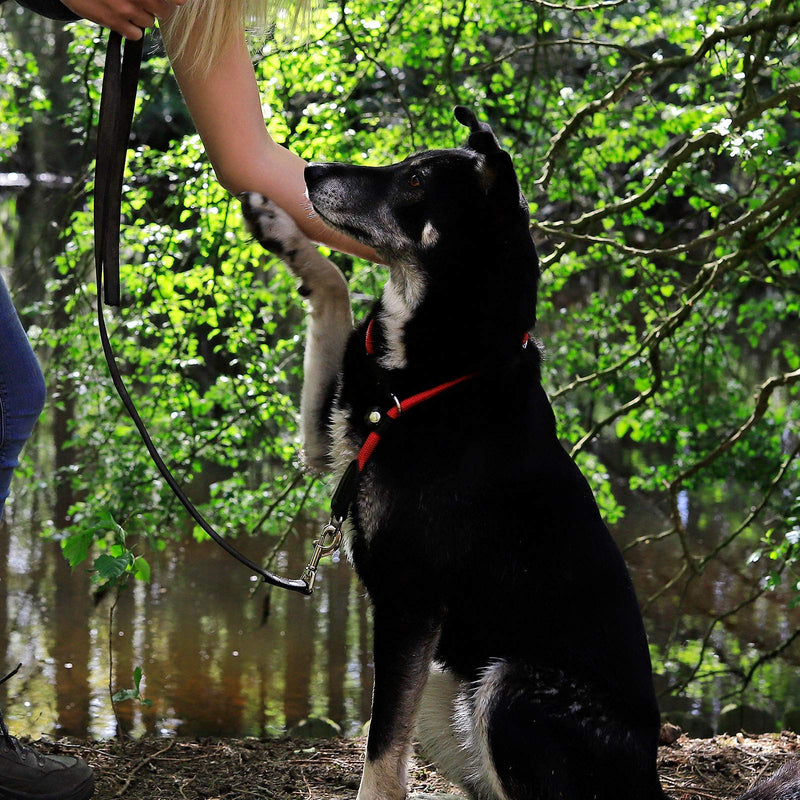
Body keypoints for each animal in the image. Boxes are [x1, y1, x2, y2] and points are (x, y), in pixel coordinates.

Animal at [242, 108, 792, 800]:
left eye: (416, 178)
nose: (309, 171)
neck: (443, 365)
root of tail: (650, 780)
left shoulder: (409, 601)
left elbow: (381, 756)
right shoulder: (329, 441)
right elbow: (333, 289)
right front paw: (278, 226)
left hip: (508, 686)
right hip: (449, 688)